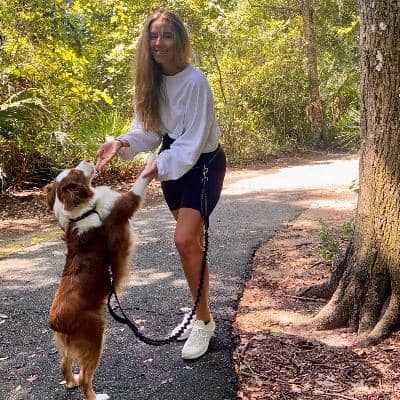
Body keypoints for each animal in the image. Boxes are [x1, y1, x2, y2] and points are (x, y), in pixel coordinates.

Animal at [45, 156, 155, 400]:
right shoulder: (122, 206)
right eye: (76, 171)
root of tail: (56, 321)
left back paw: (71, 382)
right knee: (86, 378)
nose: (88, 159)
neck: (80, 214)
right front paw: (151, 161)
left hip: (66, 344)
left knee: (64, 364)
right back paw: (96, 395)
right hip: (95, 336)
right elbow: (139, 184)